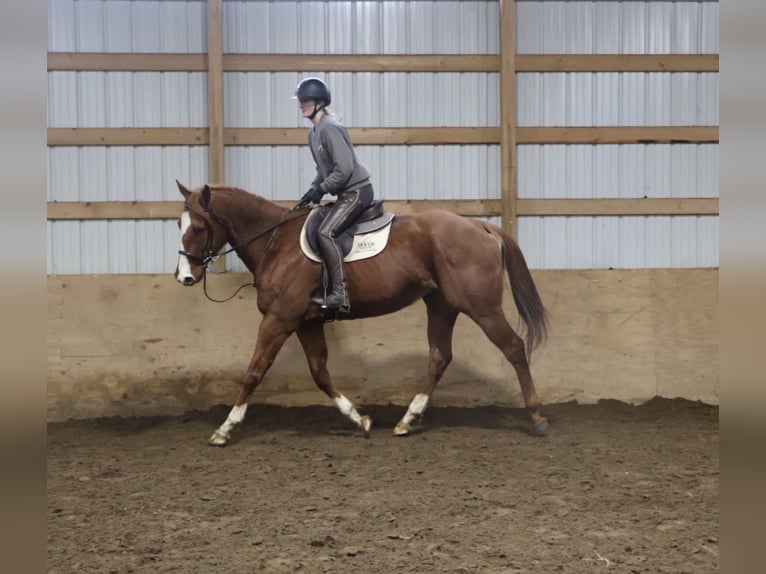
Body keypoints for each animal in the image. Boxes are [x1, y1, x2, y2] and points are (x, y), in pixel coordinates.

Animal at [174, 181, 550, 446]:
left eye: (198, 226)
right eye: (178, 223)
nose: (184, 276)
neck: (276, 244)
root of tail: (481, 227)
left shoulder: (279, 319)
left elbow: (254, 371)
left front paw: (225, 428)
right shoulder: (306, 323)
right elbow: (319, 373)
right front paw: (360, 419)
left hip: (482, 308)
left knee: (513, 348)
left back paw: (537, 418)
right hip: (442, 306)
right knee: (439, 357)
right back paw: (406, 421)